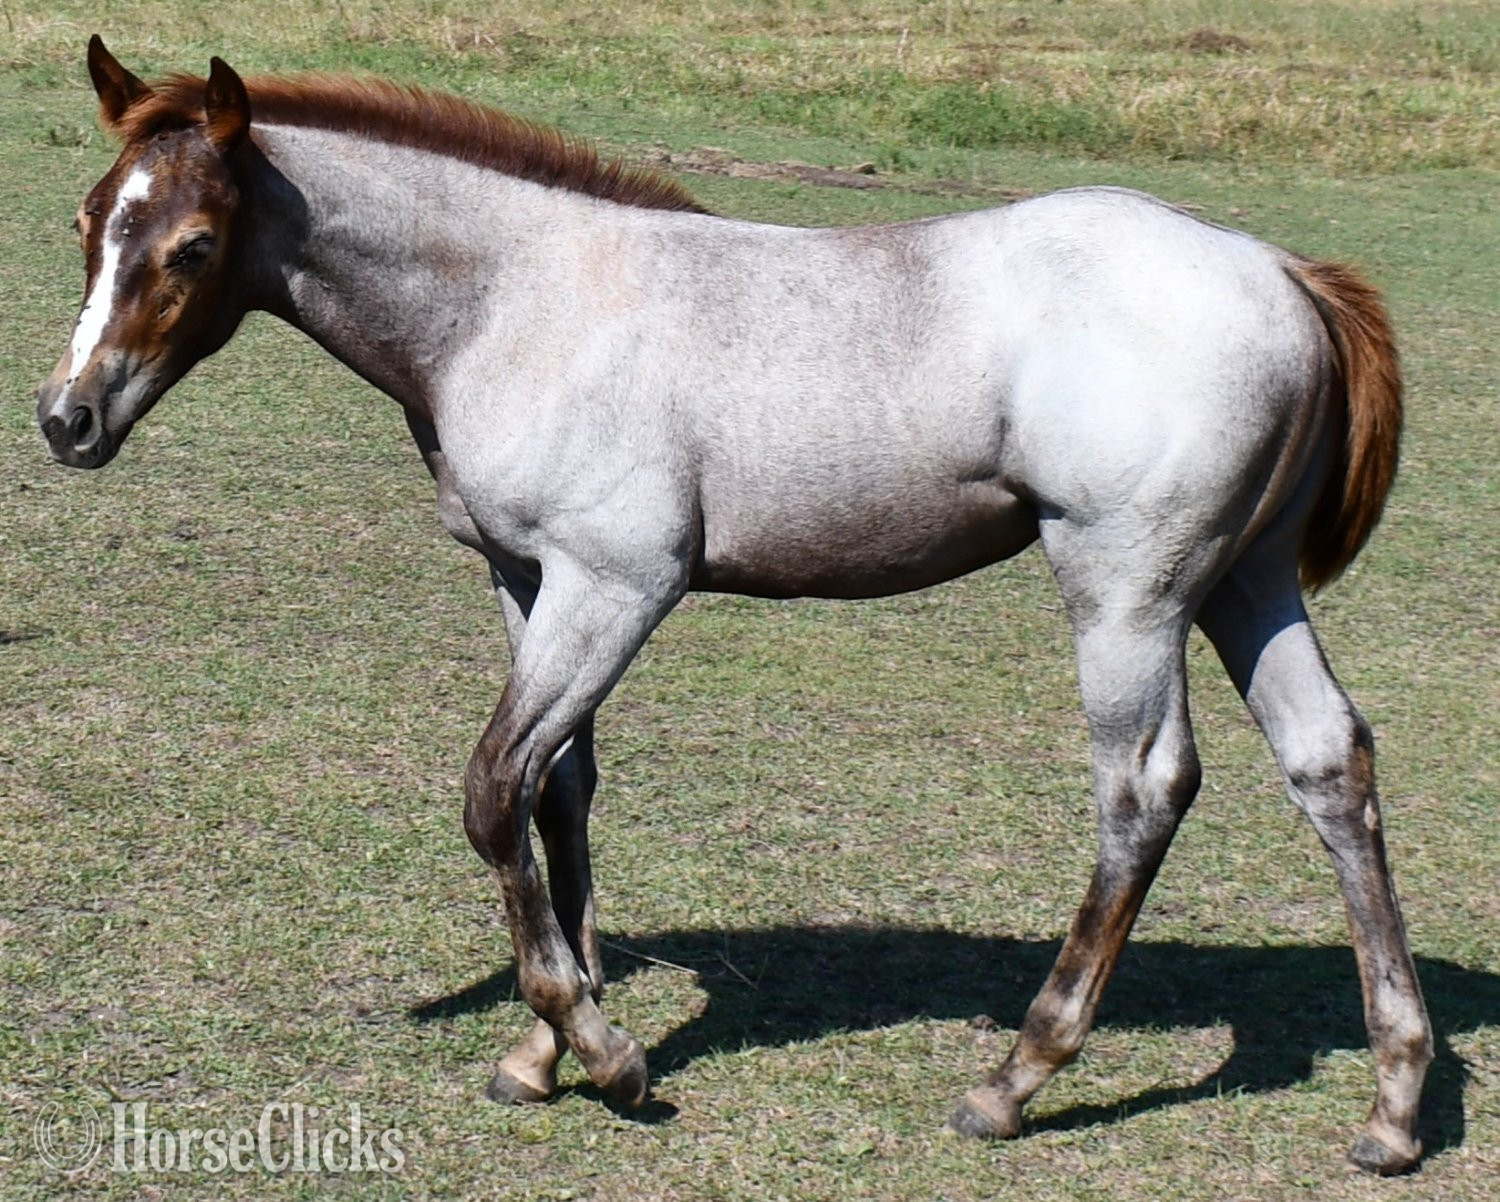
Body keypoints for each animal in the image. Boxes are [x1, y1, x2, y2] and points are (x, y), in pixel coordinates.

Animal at [36, 37, 1432, 1174]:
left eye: (193, 245)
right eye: (91, 220)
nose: (67, 419)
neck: (522, 299)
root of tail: (1284, 269)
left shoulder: (620, 582)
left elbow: (492, 787)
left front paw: (602, 1050)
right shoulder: (527, 580)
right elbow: (556, 790)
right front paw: (544, 1049)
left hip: (1128, 588)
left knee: (1143, 788)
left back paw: (1016, 1076)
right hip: (1247, 581)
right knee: (1330, 762)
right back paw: (1395, 1102)